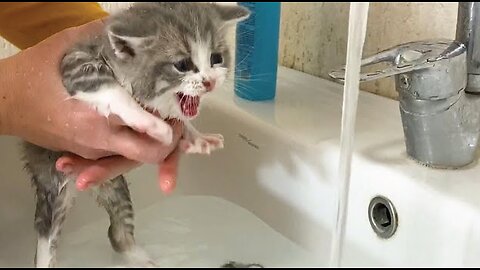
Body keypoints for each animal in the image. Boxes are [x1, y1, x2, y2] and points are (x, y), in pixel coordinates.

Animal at [21, 2, 249, 268]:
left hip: (116, 185)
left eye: (216, 58)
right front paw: (152, 124)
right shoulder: (75, 63)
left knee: (117, 233)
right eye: (182, 65)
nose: (210, 81)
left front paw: (197, 137)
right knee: (46, 229)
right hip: (52, 179)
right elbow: (111, 90)